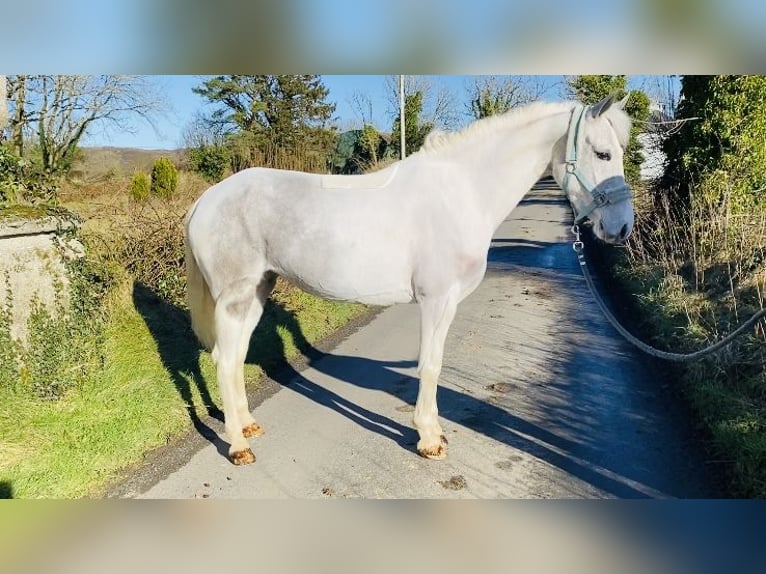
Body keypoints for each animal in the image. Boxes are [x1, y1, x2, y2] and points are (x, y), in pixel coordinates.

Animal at [186, 93, 636, 464]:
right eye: (602, 153)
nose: (621, 228)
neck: (461, 193)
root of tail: (205, 200)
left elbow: (434, 363)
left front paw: (434, 430)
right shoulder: (437, 300)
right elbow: (430, 365)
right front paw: (428, 439)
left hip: (258, 291)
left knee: (236, 356)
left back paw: (247, 425)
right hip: (235, 297)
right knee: (224, 359)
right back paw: (238, 446)